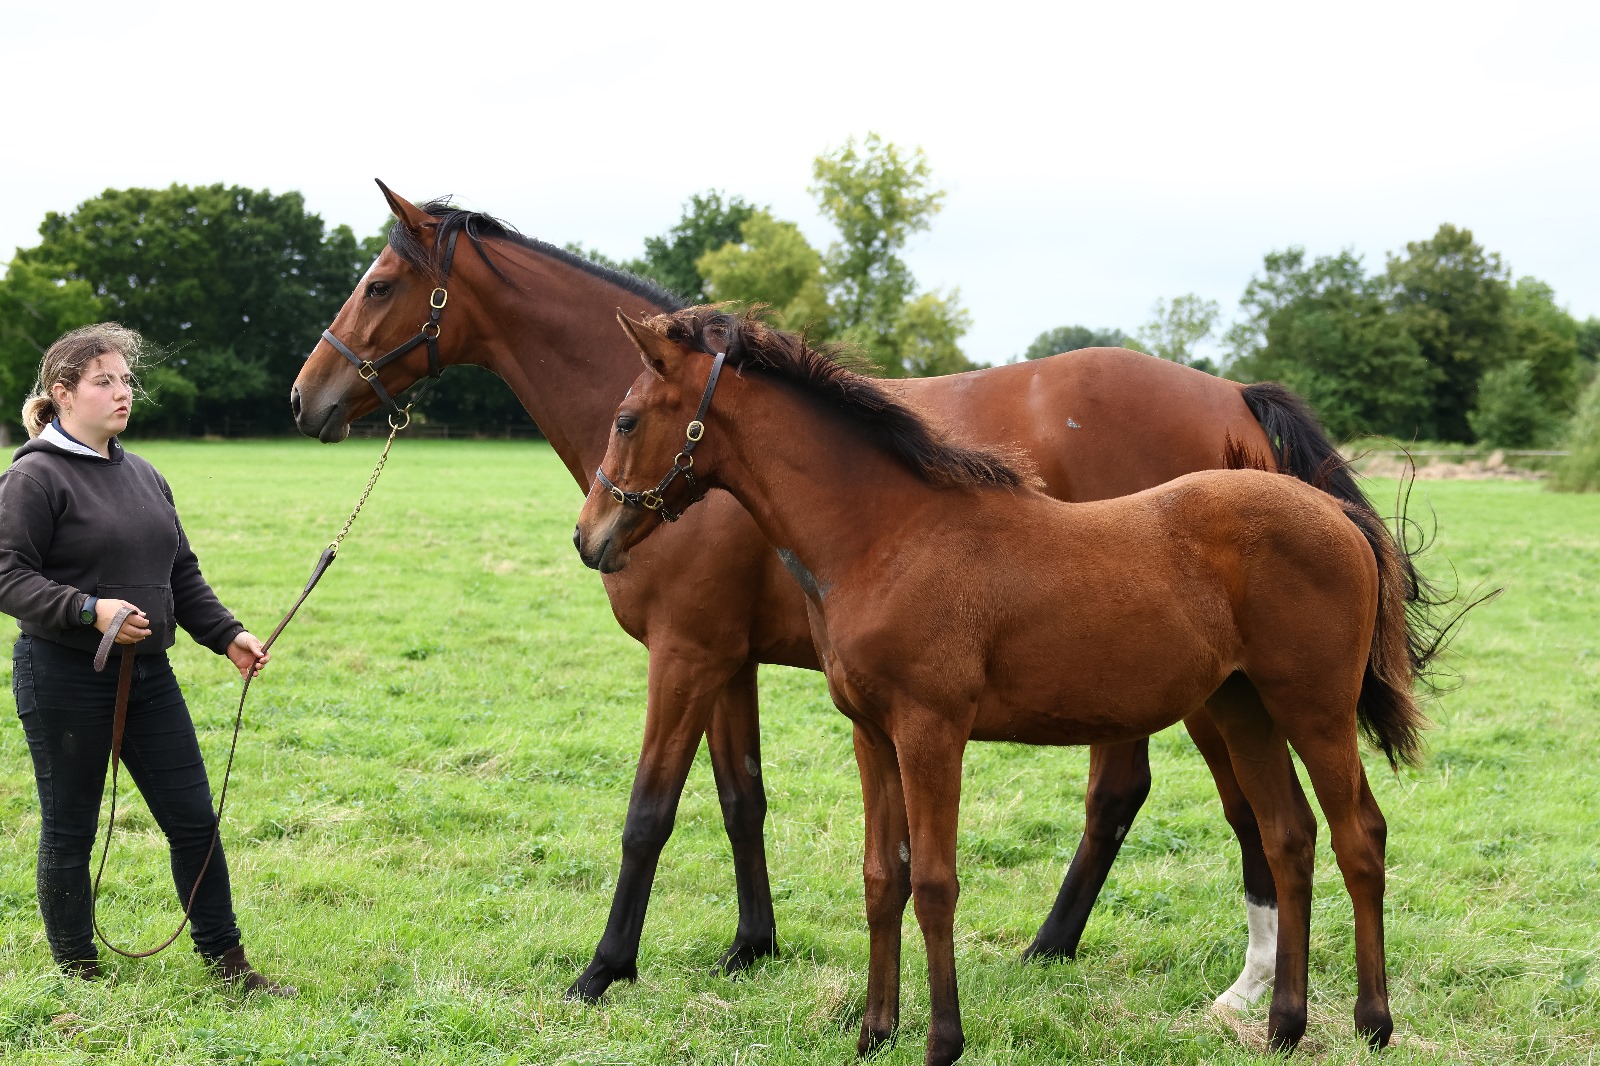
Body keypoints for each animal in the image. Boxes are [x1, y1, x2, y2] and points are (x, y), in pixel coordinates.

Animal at [297, 180, 1388, 1005]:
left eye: (380, 282)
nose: (307, 397)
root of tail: (1227, 394)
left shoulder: (685, 653)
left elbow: (649, 811)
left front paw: (604, 969)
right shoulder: (728, 660)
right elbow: (741, 799)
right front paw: (752, 945)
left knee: (1191, 803)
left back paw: (1194, 972)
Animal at [576, 305, 1427, 1056]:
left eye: (626, 420)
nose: (591, 537)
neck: (889, 534)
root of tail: (1336, 516)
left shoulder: (931, 731)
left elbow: (935, 883)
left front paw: (941, 1041)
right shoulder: (872, 734)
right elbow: (882, 877)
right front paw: (873, 1033)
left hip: (1313, 709)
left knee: (1358, 835)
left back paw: (1373, 1023)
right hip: (1244, 708)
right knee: (1290, 838)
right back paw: (1283, 1027)